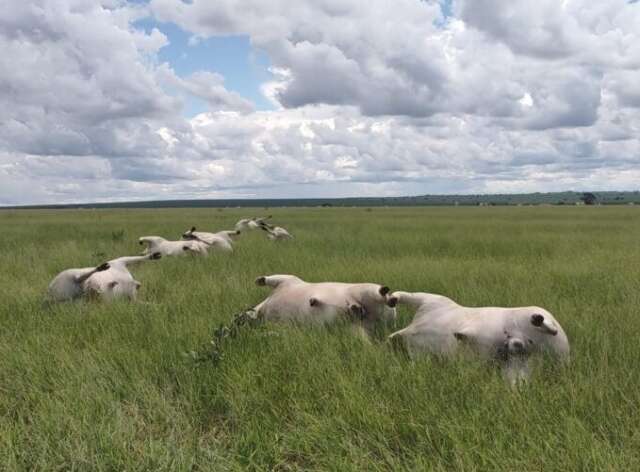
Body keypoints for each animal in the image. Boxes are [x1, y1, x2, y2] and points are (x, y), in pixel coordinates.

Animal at [250, 272, 396, 336]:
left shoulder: (288, 280)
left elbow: (270, 278)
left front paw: (259, 280)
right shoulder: (282, 325)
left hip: (366, 289)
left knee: (381, 294)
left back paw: (386, 294)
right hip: (354, 328)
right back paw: (356, 309)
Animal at [388, 292, 568, 384]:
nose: (392, 341)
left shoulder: (435, 300)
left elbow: (408, 295)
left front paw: (392, 298)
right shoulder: (419, 355)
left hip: (535, 317)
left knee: (549, 327)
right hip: (517, 365)